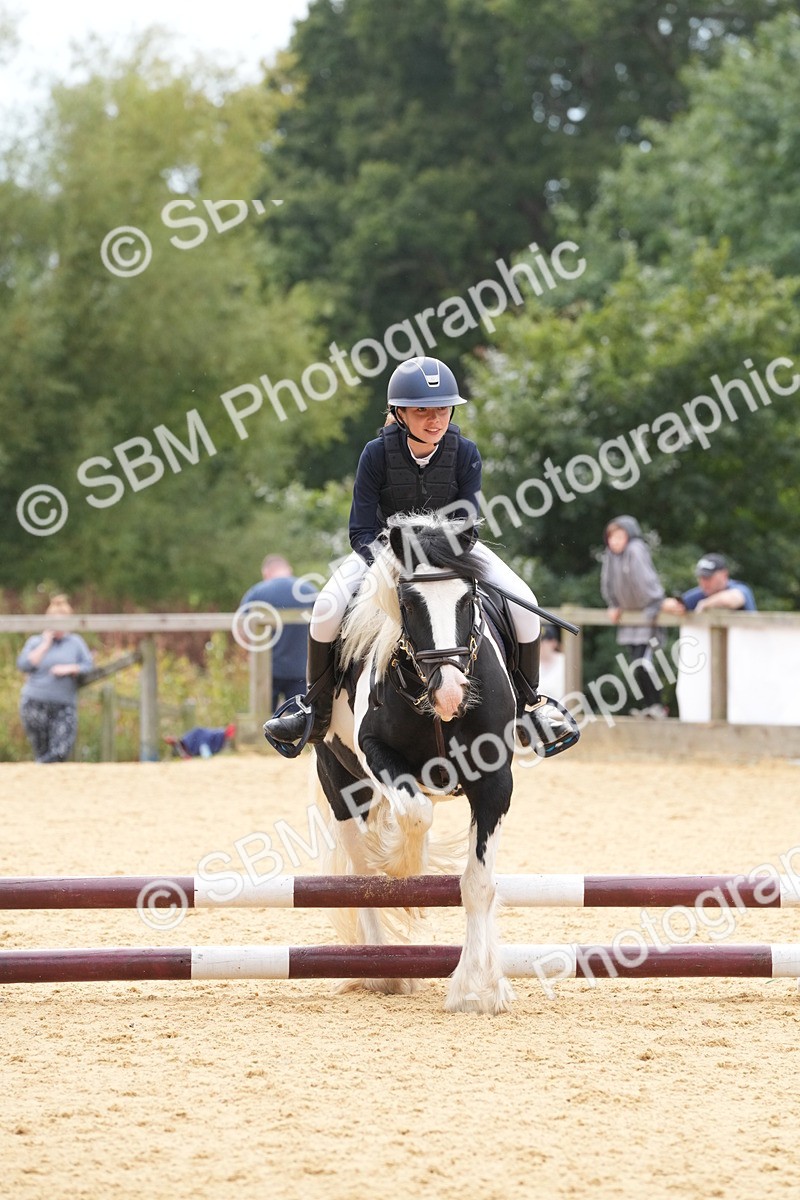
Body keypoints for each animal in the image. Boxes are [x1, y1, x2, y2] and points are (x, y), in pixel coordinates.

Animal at [315, 512, 526, 1015]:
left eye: (469, 597)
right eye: (408, 603)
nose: (450, 694)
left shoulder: (495, 783)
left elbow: (479, 883)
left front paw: (479, 989)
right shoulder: (374, 753)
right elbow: (414, 814)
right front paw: (401, 866)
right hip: (339, 783)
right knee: (359, 875)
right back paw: (383, 971)